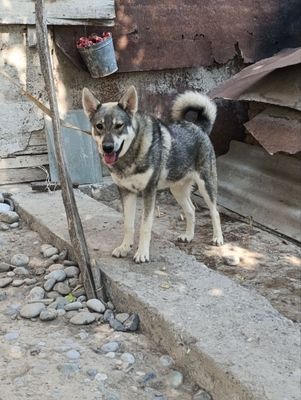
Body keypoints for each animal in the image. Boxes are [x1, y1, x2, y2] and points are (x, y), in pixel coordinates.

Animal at [82, 86, 223, 264]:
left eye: (119, 125)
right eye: (99, 126)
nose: (107, 147)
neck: (131, 154)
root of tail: (198, 126)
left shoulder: (149, 192)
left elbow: (145, 226)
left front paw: (142, 253)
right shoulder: (126, 192)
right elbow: (128, 224)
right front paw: (124, 247)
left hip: (206, 186)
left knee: (214, 212)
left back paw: (218, 238)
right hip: (177, 190)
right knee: (191, 210)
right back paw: (188, 236)